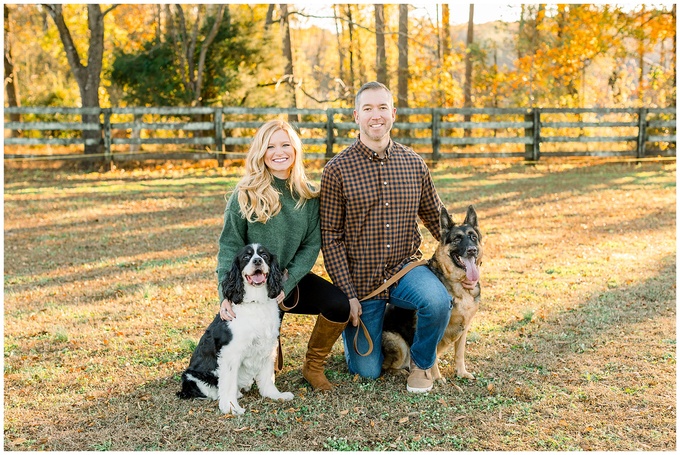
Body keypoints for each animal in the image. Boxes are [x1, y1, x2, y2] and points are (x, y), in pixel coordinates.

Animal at [177, 244, 294, 416]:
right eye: (246, 257)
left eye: (264, 255)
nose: (257, 261)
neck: (255, 302)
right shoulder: (230, 354)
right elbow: (228, 384)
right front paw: (231, 407)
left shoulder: (268, 346)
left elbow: (267, 377)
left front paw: (275, 395)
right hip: (193, 376)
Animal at [382, 206, 484, 382]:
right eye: (457, 239)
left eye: (473, 237)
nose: (472, 250)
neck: (456, 281)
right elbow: (431, 354)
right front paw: (436, 377)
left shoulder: (464, 328)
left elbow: (459, 354)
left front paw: (461, 373)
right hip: (398, 342)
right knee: (386, 368)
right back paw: (402, 371)